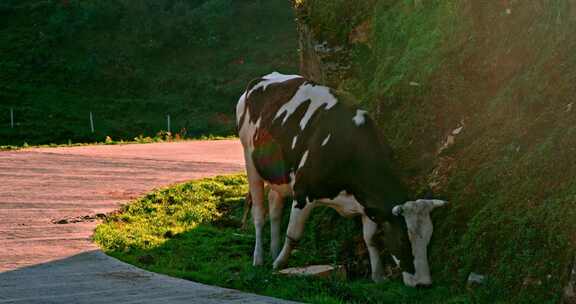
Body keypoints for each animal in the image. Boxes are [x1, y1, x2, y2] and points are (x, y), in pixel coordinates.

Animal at [236, 72, 448, 288]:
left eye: (429, 239)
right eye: (404, 239)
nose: (424, 283)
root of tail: (264, 78)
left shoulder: (368, 203)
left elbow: (371, 239)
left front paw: (378, 275)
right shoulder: (303, 192)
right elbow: (293, 234)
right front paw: (279, 264)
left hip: (279, 176)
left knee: (275, 206)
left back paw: (273, 250)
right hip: (249, 159)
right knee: (259, 213)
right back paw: (260, 258)